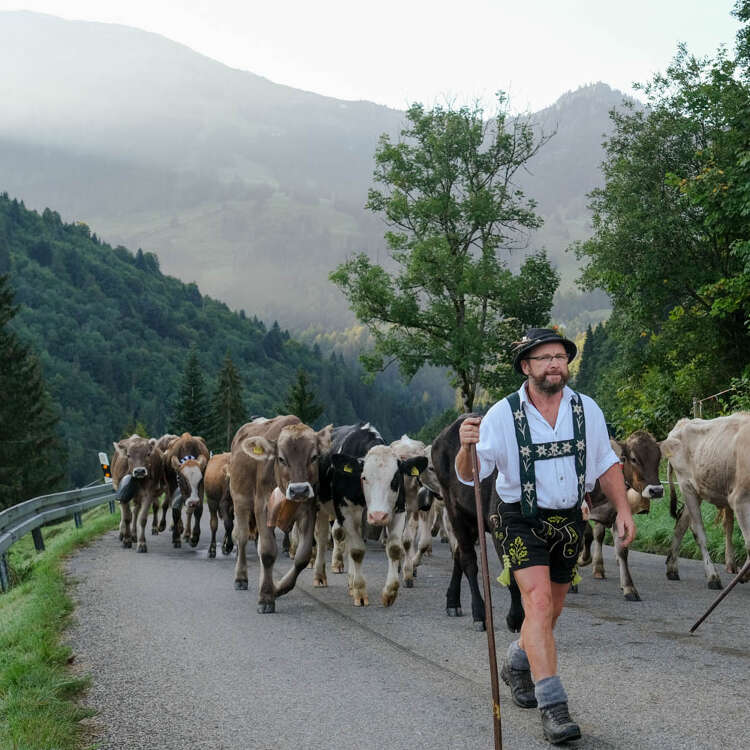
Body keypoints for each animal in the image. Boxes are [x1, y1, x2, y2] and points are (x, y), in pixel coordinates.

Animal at [231, 414, 334, 612]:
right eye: (281, 458)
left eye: (314, 457)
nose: (299, 490)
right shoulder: (262, 507)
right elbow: (267, 552)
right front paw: (265, 598)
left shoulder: (308, 510)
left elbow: (302, 556)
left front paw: (276, 588)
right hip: (239, 501)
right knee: (241, 538)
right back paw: (240, 577)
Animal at [580, 432, 668, 604]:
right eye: (633, 458)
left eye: (659, 457)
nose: (656, 490)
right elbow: (585, 535)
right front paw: (581, 561)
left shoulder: (617, 515)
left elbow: (622, 550)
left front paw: (629, 588)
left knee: (599, 534)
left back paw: (599, 568)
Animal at [664, 414, 750, 592]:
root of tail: (681, 423)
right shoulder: (739, 499)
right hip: (686, 486)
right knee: (698, 532)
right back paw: (712, 577)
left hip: (695, 492)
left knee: (680, 525)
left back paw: (672, 569)